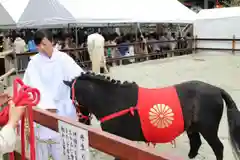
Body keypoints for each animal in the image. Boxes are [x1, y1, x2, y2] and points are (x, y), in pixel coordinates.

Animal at [63, 72, 240, 160]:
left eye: (72, 98)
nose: (82, 120)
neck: (113, 100)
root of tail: (217, 90)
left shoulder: (119, 142)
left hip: (208, 129)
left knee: (218, 148)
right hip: (193, 127)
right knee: (195, 144)